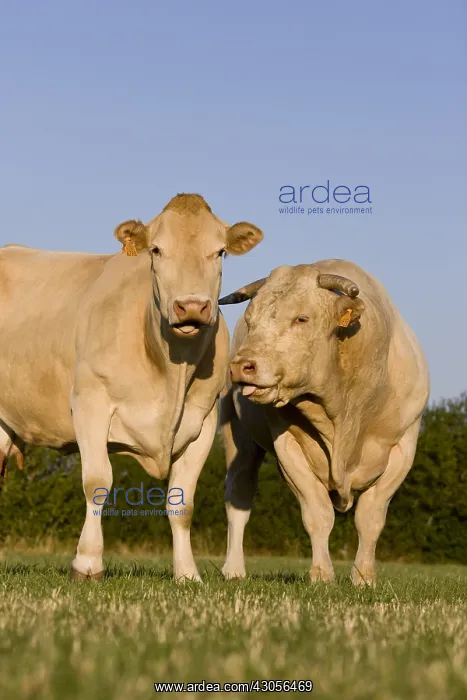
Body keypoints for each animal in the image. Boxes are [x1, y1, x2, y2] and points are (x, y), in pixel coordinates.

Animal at [0, 193, 263, 582]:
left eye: (219, 252)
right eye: (156, 250)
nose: (191, 306)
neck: (171, 369)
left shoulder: (204, 422)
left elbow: (183, 502)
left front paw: (187, 573)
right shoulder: (90, 402)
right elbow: (97, 482)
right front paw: (87, 563)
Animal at [218, 260, 429, 586]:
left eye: (301, 318)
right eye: (251, 320)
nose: (242, 366)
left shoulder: (403, 447)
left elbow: (370, 518)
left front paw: (364, 578)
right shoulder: (287, 448)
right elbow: (318, 515)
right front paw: (321, 574)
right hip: (238, 435)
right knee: (239, 496)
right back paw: (234, 569)